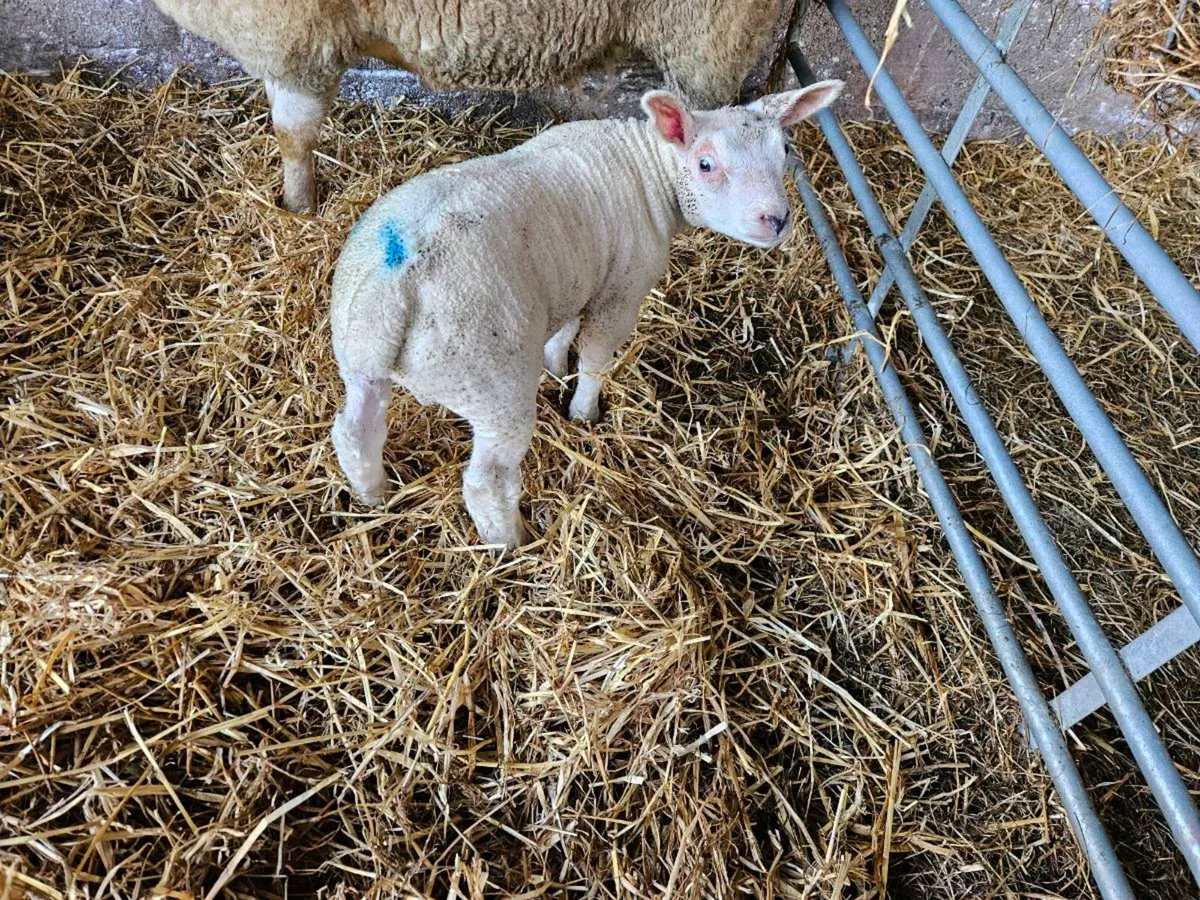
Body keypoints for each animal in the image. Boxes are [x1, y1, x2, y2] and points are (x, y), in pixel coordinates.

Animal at [328, 80, 843, 549]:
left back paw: (374, 496)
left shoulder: (582, 274)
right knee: (487, 481)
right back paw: (511, 543)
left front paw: (556, 367)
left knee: (356, 433)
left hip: (359, 359)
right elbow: (595, 356)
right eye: (706, 164)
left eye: (785, 151)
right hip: (490, 380)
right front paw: (584, 412)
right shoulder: (622, 288)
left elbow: (565, 329)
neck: (650, 167)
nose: (776, 220)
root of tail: (396, 289)